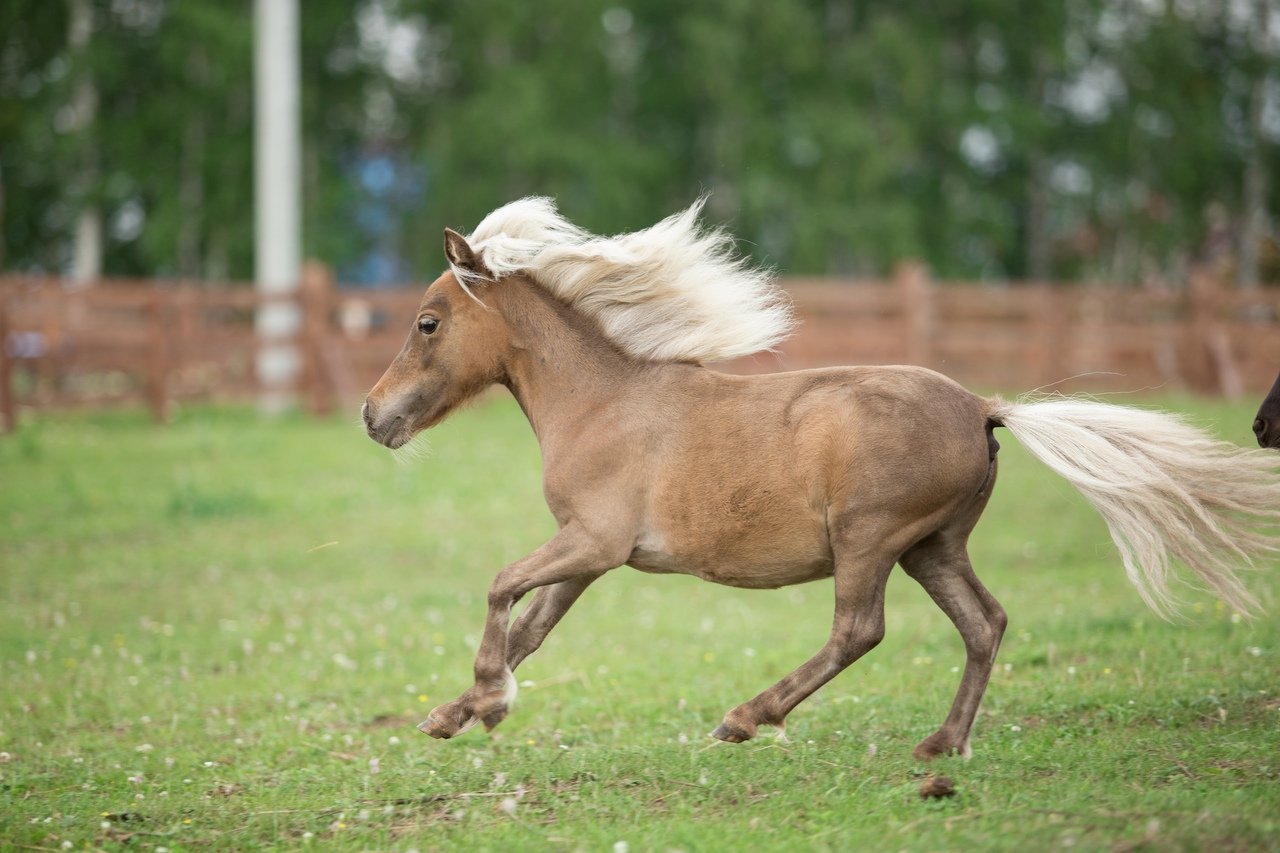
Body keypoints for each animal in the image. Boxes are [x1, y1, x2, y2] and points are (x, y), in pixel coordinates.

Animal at [363, 199, 1280, 758]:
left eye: (428, 323)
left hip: (869, 538)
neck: (603, 400)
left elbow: (500, 587)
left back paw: (746, 715)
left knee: (860, 629)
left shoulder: (592, 541)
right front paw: (457, 712)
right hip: (932, 546)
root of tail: (983, 407)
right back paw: (942, 744)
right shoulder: (588, 555)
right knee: (984, 622)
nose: (374, 417)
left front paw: (488, 699)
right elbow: (529, 627)